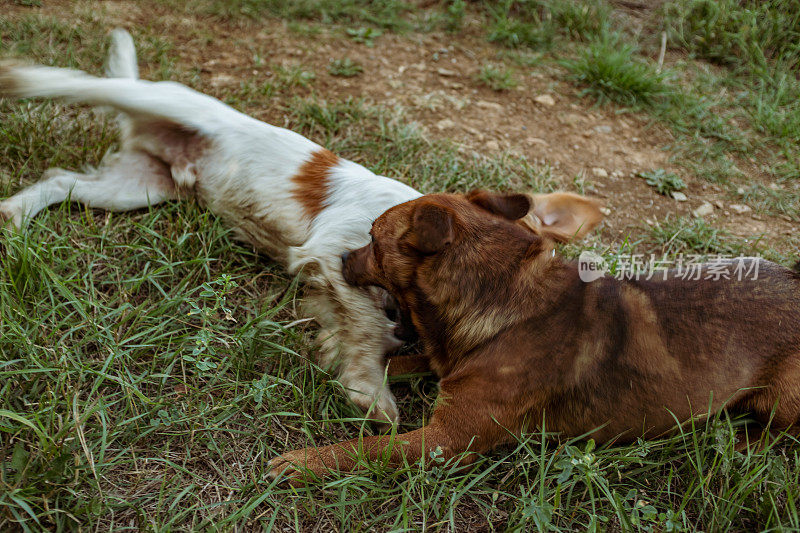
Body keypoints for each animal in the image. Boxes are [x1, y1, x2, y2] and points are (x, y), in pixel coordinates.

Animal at [270, 190, 800, 478]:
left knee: (782, 433)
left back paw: (741, 443)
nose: (342, 258)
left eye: (374, 240)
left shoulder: (444, 440)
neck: (505, 295)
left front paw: (304, 463)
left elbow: (365, 450)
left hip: (783, 399)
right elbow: (394, 362)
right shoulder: (445, 366)